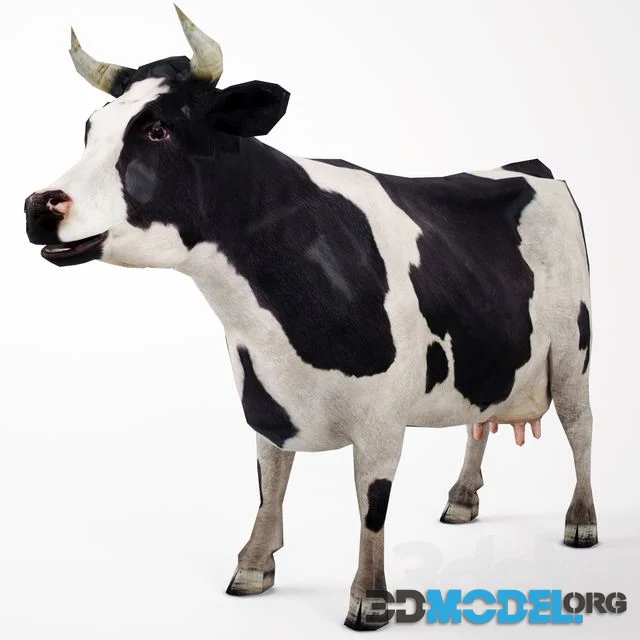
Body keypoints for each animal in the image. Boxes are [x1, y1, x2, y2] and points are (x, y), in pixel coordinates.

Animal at [24, 7, 596, 631]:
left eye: (158, 130)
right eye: (89, 128)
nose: (38, 205)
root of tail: (526, 165)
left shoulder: (381, 419)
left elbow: (371, 505)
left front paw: (369, 598)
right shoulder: (262, 395)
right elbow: (269, 482)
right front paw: (252, 567)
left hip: (573, 351)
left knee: (581, 428)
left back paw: (581, 521)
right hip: (490, 351)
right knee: (479, 421)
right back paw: (462, 500)